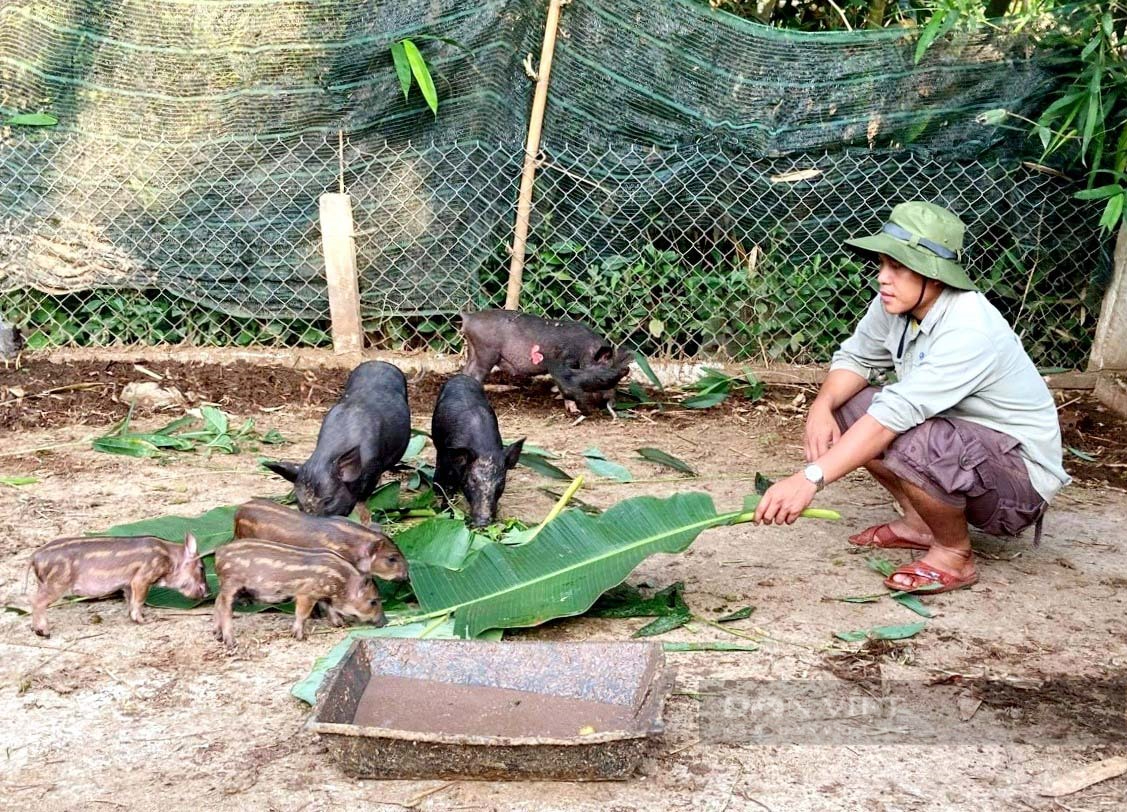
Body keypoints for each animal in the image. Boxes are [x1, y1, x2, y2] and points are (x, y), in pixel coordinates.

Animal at [432, 374, 525, 525]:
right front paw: (446, 514)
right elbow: (449, 488)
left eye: (501, 483)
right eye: (473, 480)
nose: (483, 521)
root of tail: (461, 376)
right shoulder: (449, 459)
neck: (484, 451)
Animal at [459, 309, 635, 415]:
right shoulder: (566, 360)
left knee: (465, 373)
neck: (586, 350)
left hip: (473, 351)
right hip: (486, 352)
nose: (612, 403)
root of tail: (469, 317)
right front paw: (574, 410)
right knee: (475, 376)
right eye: (603, 374)